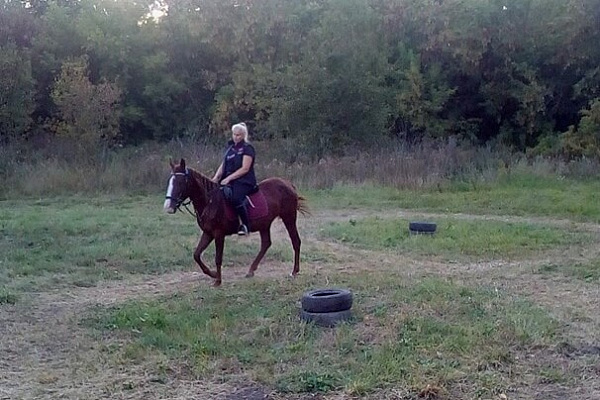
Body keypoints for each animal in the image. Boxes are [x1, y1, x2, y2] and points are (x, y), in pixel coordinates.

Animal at [163, 158, 310, 286]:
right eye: (170, 181)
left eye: (180, 182)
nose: (168, 207)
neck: (210, 202)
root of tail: (288, 184)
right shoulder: (208, 233)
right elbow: (196, 255)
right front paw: (213, 274)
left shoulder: (218, 234)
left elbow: (218, 258)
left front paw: (218, 281)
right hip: (265, 224)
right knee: (266, 244)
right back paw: (251, 270)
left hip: (289, 217)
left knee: (295, 241)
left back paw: (294, 271)